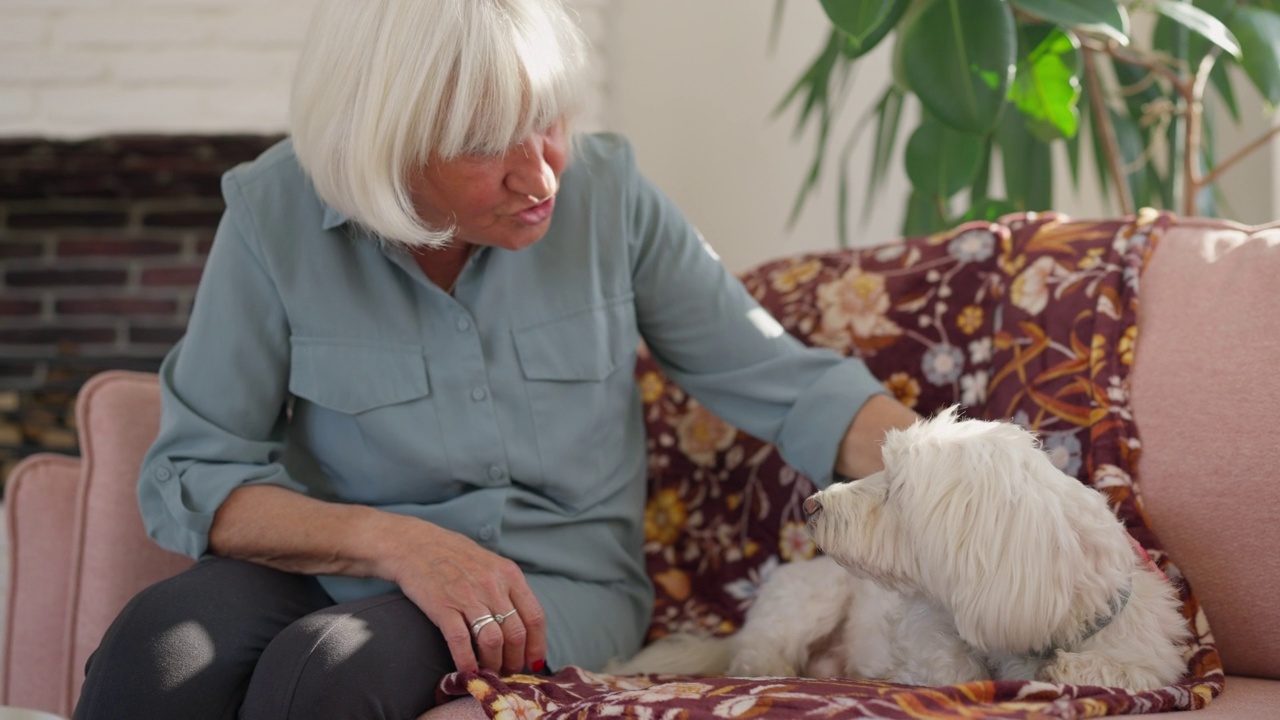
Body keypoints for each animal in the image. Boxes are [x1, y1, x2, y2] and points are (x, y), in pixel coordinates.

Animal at [614, 407, 1192, 686]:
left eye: (895, 489)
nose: (810, 505)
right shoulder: (924, 624)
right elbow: (950, 665)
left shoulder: (1148, 647)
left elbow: (1128, 670)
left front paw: (1069, 670)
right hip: (808, 602)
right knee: (759, 648)